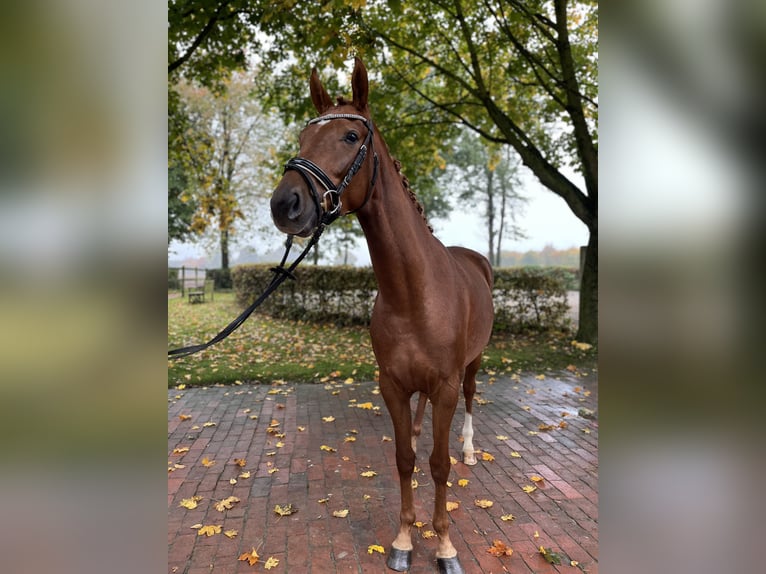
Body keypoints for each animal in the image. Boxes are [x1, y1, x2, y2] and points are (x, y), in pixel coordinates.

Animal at [272, 59, 496, 574]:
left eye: (351, 136)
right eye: (302, 136)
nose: (285, 204)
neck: (414, 292)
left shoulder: (446, 384)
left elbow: (438, 465)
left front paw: (445, 546)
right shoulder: (391, 384)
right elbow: (405, 459)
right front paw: (403, 540)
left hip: (472, 366)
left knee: (471, 401)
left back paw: (471, 448)